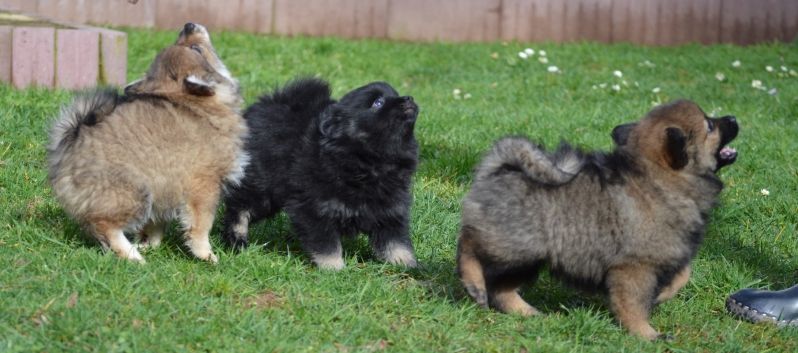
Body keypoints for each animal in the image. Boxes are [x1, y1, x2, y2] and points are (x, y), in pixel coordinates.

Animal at [47, 23, 247, 262]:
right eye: (196, 49)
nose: (188, 25)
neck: (192, 101)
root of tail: (72, 139)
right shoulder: (204, 185)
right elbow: (201, 224)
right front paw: (206, 255)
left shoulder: (165, 186)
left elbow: (155, 225)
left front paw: (149, 244)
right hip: (134, 193)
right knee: (104, 226)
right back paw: (132, 257)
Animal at [219, 77, 418, 270]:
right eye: (378, 102)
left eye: (396, 95)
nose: (409, 98)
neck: (367, 161)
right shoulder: (314, 209)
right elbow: (326, 244)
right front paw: (334, 269)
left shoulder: (390, 211)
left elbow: (396, 244)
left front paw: (411, 266)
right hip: (261, 189)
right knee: (239, 209)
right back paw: (236, 241)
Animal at [460, 98, 740, 338]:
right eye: (709, 125)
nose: (734, 118)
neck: (659, 179)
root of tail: (500, 171)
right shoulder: (633, 268)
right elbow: (633, 307)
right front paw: (647, 335)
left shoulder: (669, 252)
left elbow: (684, 274)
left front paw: (662, 295)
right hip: (512, 244)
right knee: (468, 244)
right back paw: (473, 283)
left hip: (529, 257)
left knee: (500, 288)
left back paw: (526, 312)